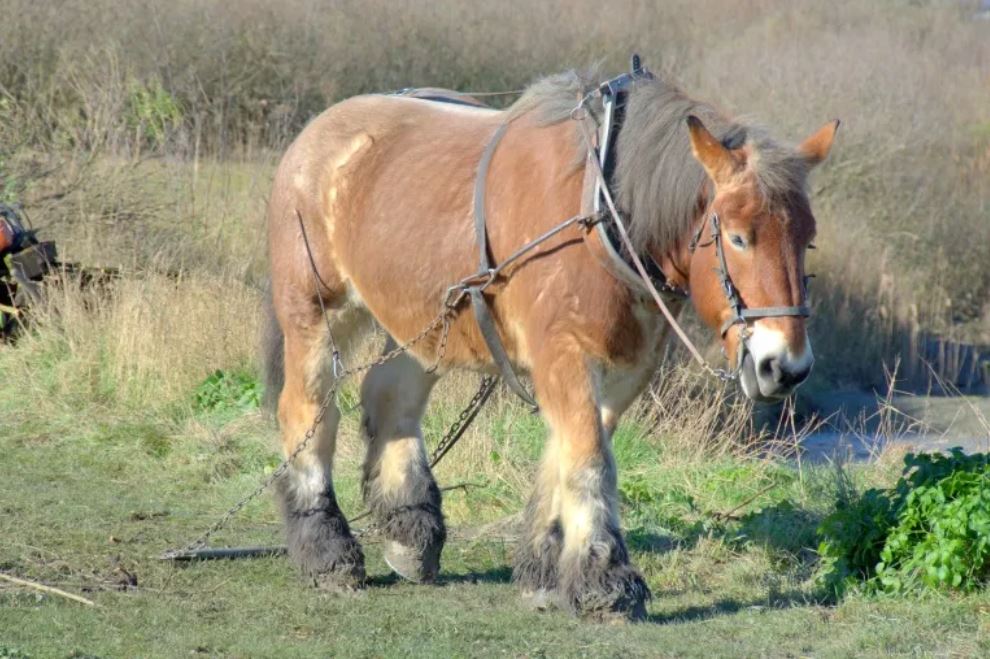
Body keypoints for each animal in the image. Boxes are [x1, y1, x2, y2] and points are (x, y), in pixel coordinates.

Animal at [264, 67, 836, 624]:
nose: (785, 367)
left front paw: (544, 568)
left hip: (425, 321)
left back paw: (410, 530)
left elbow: (566, 453)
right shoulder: (564, 353)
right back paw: (326, 547)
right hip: (315, 310)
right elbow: (588, 460)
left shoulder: (624, 367)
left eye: (807, 238)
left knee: (391, 400)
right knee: (308, 410)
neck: (601, 214)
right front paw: (607, 581)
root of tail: (316, 133)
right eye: (738, 237)